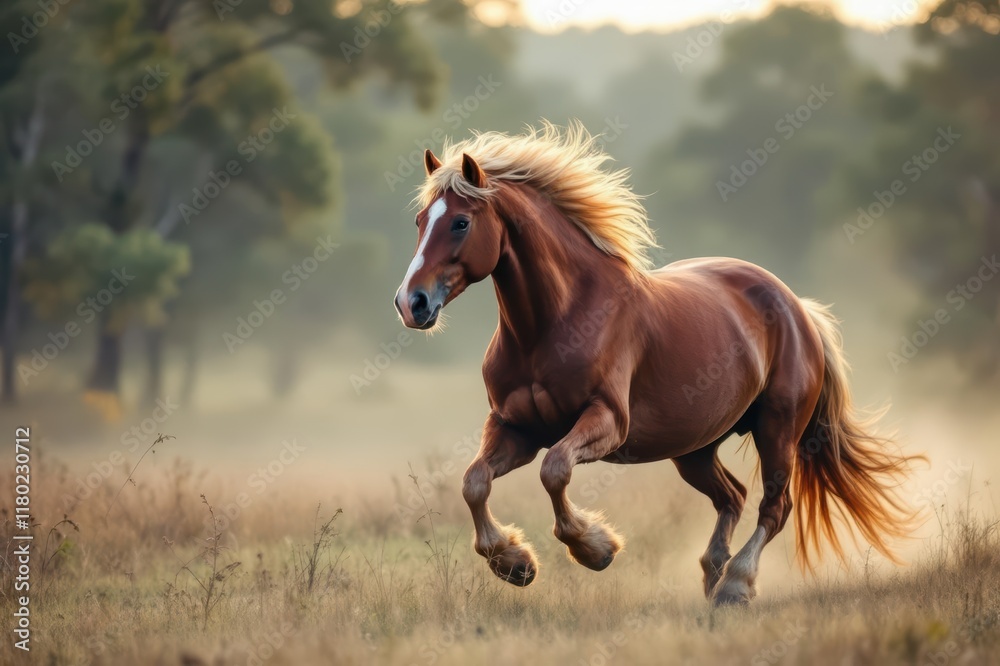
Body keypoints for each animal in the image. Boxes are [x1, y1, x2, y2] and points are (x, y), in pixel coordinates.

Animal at [393, 122, 920, 605]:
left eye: (460, 223)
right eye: (418, 221)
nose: (410, 303)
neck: (552, 324)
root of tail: (798, 308)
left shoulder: (607, 420)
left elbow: (554, 471)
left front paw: (595, 548)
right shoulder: (515, 428)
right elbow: (474, 483)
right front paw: (515, 563)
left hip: (778, 429)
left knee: (774, 507)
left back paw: (735, 586)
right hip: (695, 447)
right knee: (732, 497)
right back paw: (712, 579)